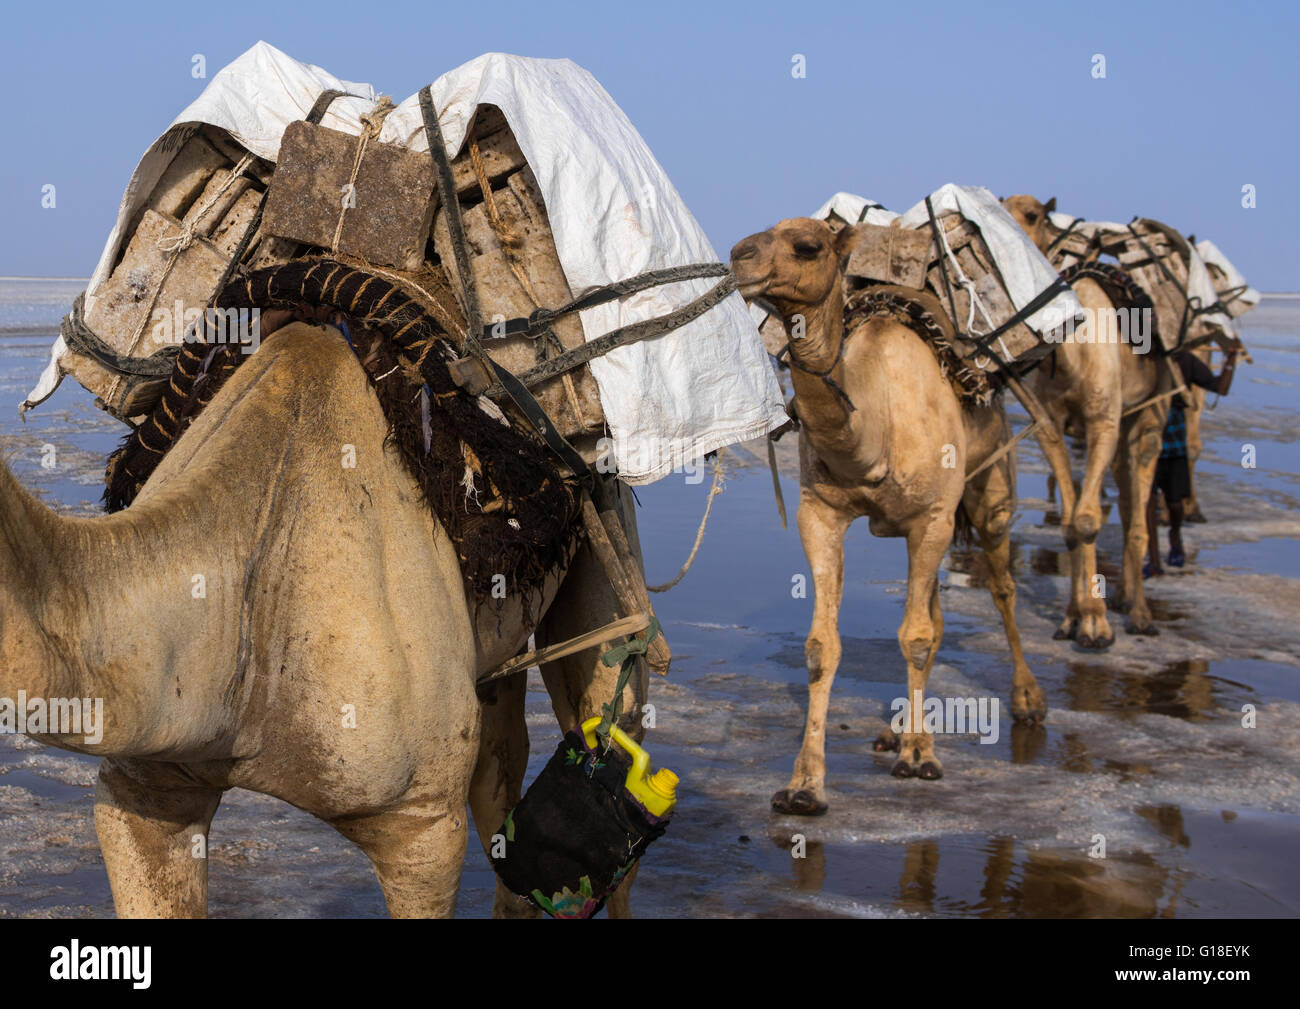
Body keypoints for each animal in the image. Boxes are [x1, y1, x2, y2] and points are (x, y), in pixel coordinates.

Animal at [733, 218, 1045, 811]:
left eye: (807, 246)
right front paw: (803, 787)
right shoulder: (820, 512)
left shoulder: (933, 516)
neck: (873, 433)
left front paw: (920, 759)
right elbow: (822, 647)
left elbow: (916, 639)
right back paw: (899, 730)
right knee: (936, 611)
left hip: (989, 486)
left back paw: (1026, 700)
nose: (740, 256)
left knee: (1001, 587)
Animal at [998, 195, 1175, 639]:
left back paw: (1140, 614)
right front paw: (1071, 618)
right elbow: (1069, 524)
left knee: (1138, 511)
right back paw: (1126, 597)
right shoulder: (1050, 427)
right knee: (1127, 501)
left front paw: (1096, 624)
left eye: (1034, 215)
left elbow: (1088, 519)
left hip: (1150, 413)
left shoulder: (1102, 420)